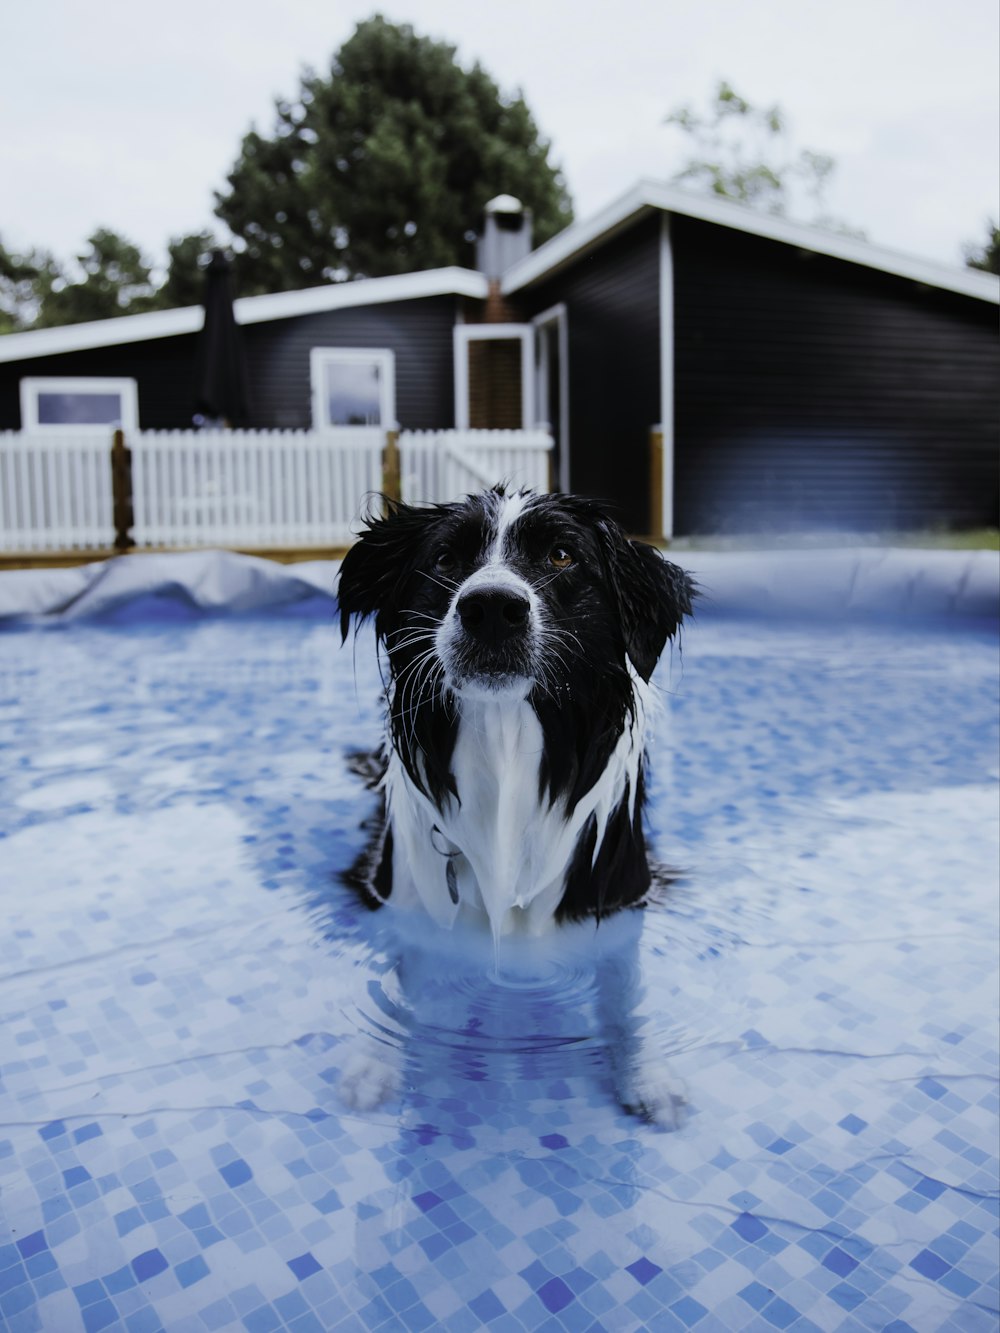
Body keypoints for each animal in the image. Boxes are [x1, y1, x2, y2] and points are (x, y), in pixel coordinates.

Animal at [337, 485, 698, 1119]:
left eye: (561, 555)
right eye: (446, 560)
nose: (491, 608)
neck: (505, 746)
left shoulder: (619, 900)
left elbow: (624, 986)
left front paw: (647, 1072)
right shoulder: (402, 897)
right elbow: (400, 976)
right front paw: (377, 1058)